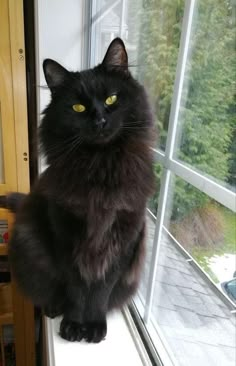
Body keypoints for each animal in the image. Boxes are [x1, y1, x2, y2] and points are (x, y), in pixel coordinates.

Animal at [1, 38, 155, 342]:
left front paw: (93, 325)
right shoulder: (65, 236)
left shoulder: (121, 237)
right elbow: (76, 289)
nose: (100, 121)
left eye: (111, 100)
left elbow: (101, 290)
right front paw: (73, 323)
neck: (100, 166)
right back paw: (53, 308)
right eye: (78, 108)